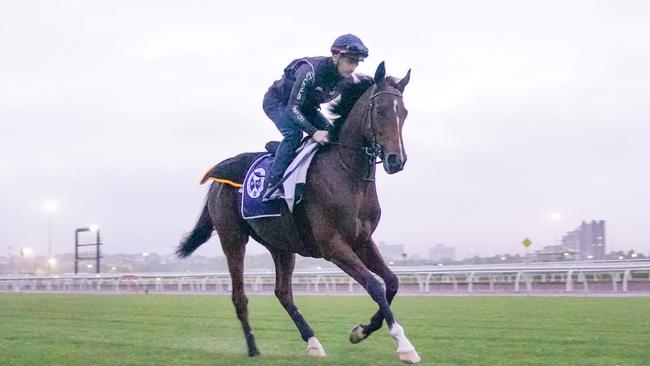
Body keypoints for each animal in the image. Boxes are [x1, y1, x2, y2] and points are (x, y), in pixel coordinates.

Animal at [176, 60, 420, 364]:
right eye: (381, 110)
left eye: (404, 113)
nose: (396, 160)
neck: (346, 173)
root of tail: (215, 180)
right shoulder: (333, 245)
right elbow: (375, 285)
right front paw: (404, 345)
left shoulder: (362, 240)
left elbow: (392, 282)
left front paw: (361, 331)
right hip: (232, 239)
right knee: (239, 296)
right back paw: (253, 347)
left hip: (281, 244)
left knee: (283, 292)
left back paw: (313, 342)